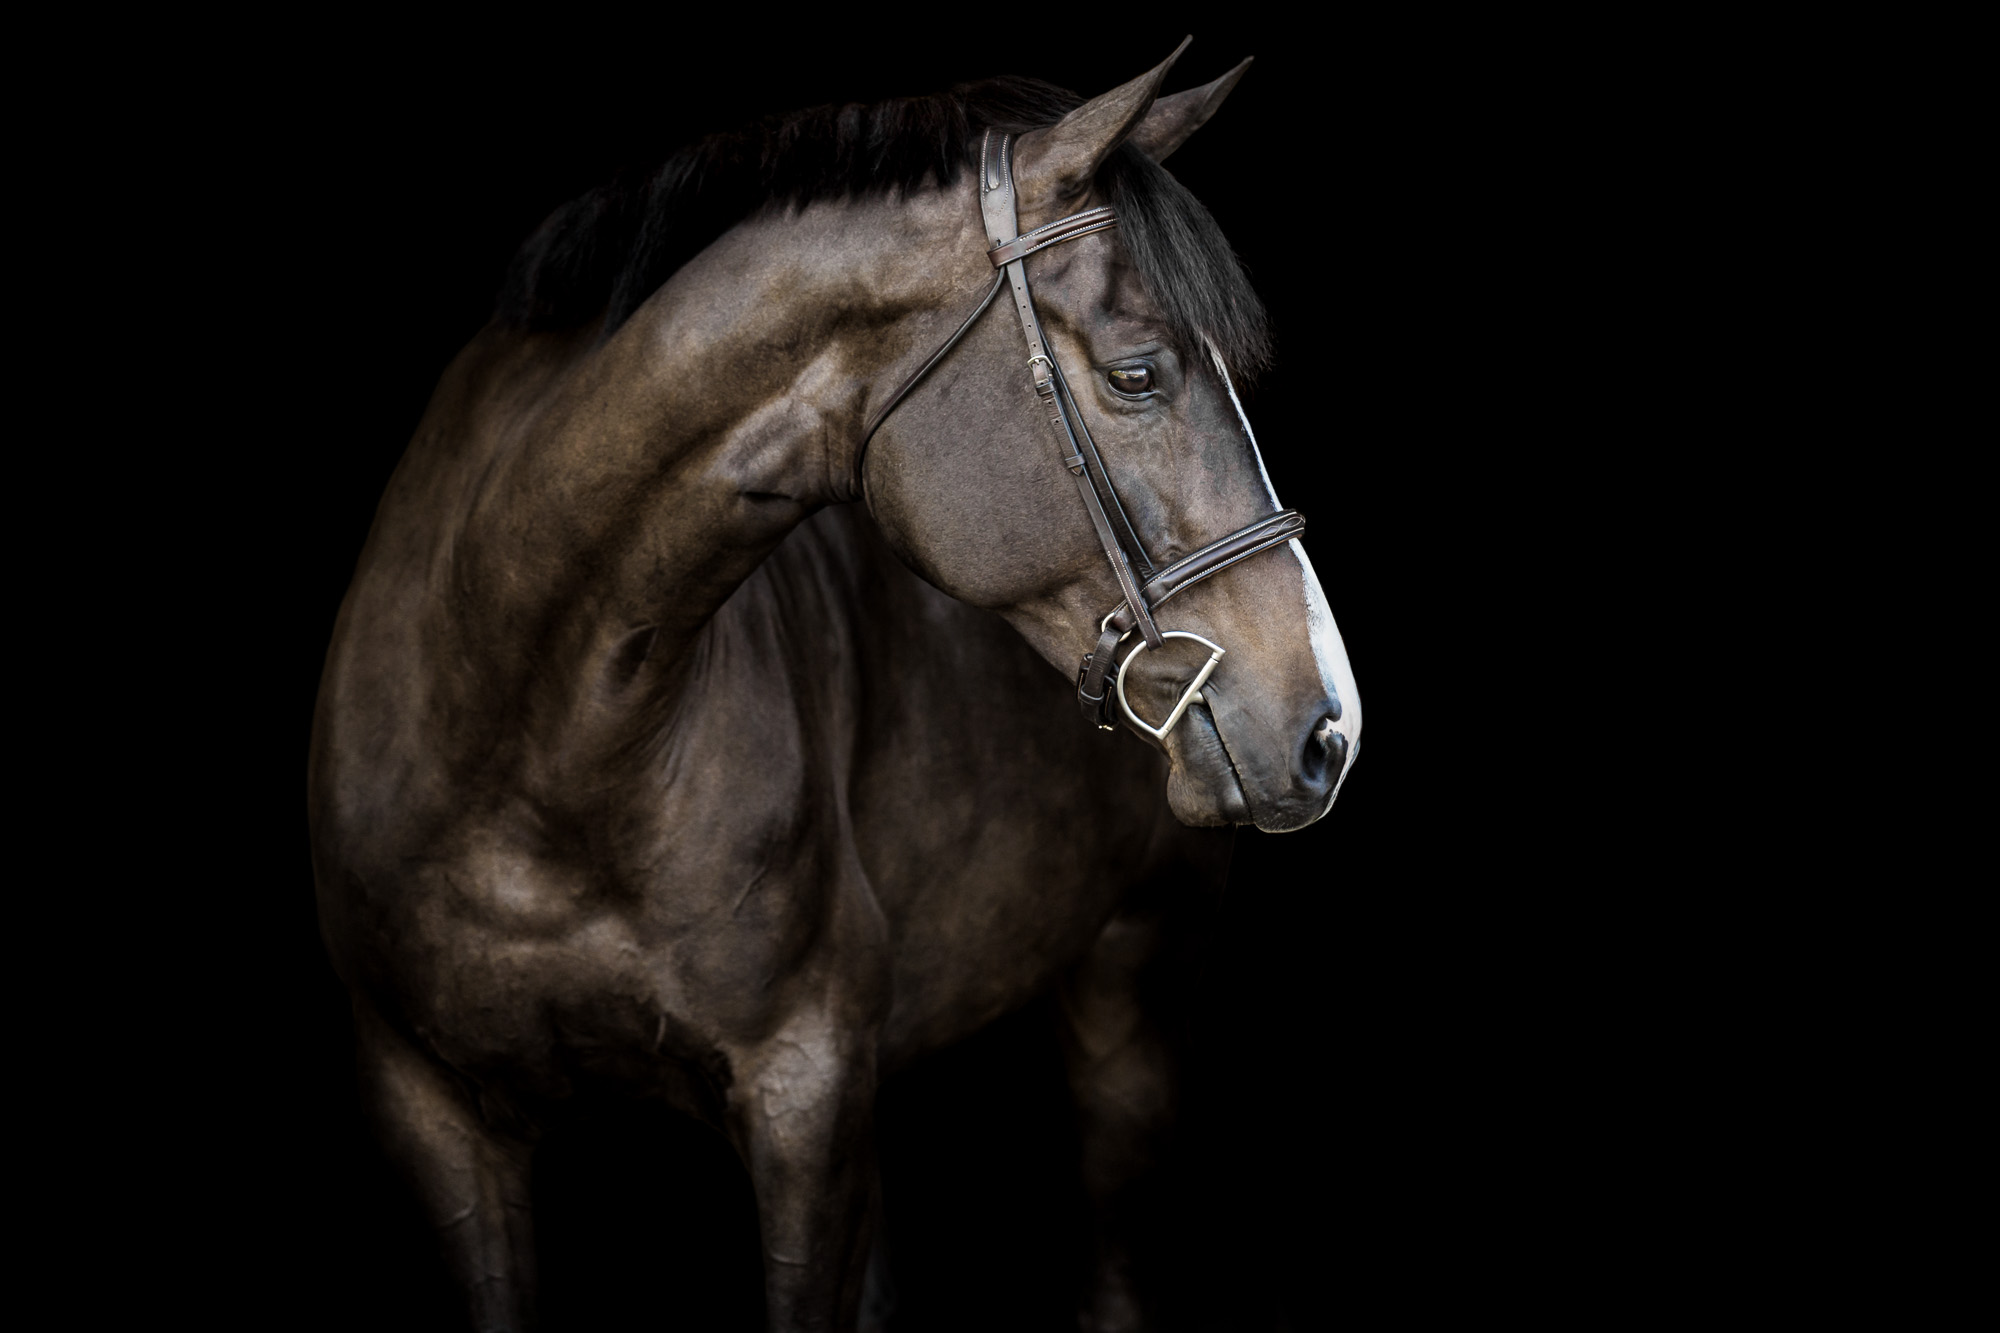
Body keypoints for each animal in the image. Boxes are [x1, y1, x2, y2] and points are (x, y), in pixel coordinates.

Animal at [309, 41, 1360, 1332]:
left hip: (1133, 990)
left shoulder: (799, 1097)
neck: (529, 734)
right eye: (1135, 373)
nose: (1325, 724)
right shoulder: (437, 1116)